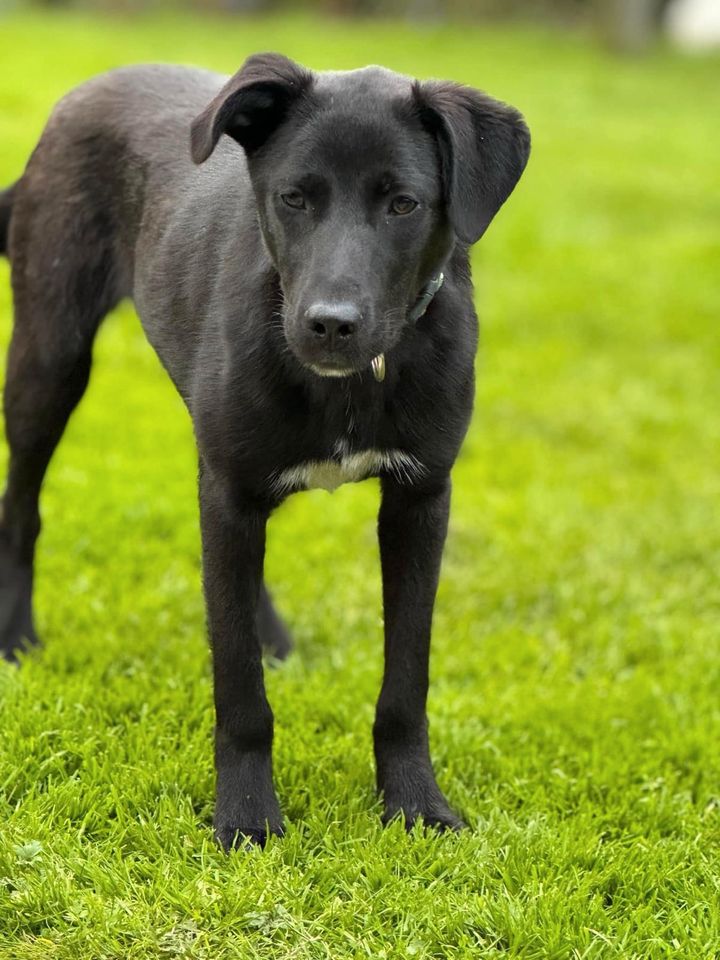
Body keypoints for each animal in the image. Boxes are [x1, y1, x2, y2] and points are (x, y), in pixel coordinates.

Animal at [0, 52, 528, 848]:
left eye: (404, 205)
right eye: (294, 198)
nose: (330, 324)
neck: (351, 383)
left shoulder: (420, 497)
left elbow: (406, 682)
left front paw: (415, 806)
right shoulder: (229, 491)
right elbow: (238, 686)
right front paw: (247, 818)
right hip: (49, 358)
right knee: (22, 506)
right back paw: (15, 637)